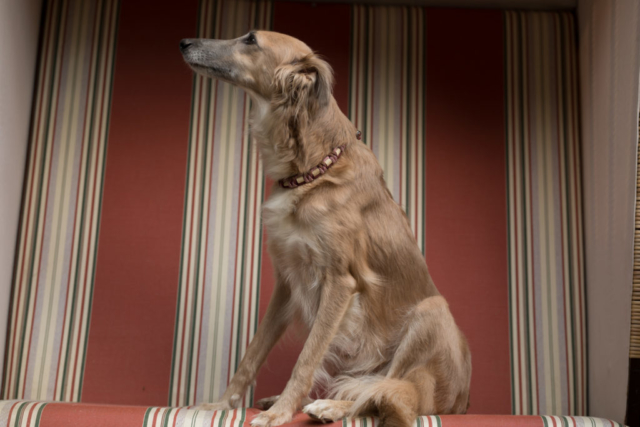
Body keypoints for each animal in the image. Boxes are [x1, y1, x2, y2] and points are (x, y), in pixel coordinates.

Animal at [180, 31, 471, 427]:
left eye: (250, 40)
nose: (184, 42)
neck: (313, 170)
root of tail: (460, 402)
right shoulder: (287, 282)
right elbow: (252, 354)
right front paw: (223, 405)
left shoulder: (340, 281)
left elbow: (307, 357)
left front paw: (281, 413)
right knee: (373, 387)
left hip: (431, 313)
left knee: (387, 390)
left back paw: (329, 406)